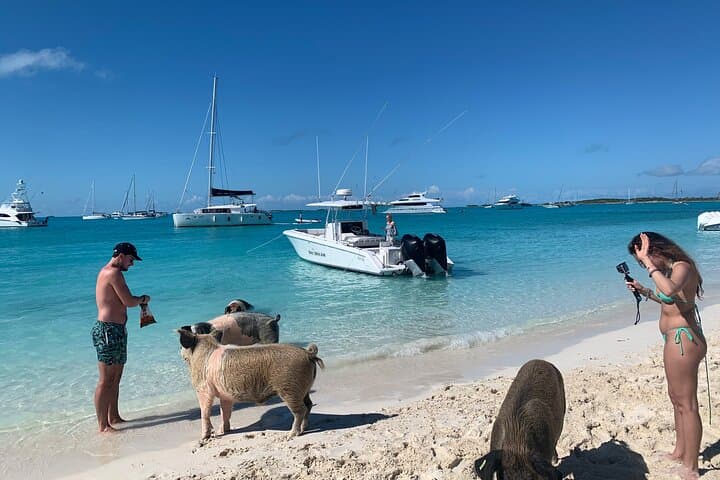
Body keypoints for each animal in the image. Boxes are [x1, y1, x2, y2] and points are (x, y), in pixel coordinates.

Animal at [177, 327, 324, 440]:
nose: (180, 351)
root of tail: (308, 353)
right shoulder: (225, 395)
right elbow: (225, 412)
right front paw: (223, 431)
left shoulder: (203, 389)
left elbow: (205, 412)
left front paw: (203, 438)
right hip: (304, 389)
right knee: (309, 405)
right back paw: (304, 428)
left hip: (289, 388)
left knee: (300, 410)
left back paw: (291, 434)